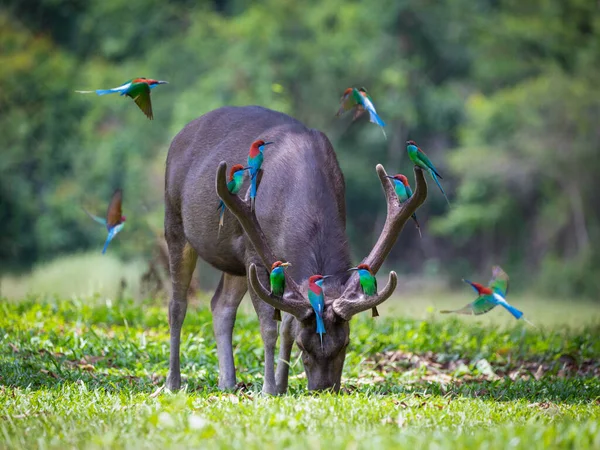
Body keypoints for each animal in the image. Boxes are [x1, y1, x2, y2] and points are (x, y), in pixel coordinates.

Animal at [164, 105, 426, 394]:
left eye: (346, 343)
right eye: (303, 346)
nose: (323, 389)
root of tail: (179, 135)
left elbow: (288, 324)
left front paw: (281, 385)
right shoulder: (255, 254)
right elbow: (269, 325)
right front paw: (269, 388)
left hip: (235, 260)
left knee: (221, 305)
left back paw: (228, 382)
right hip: (174, 219)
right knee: (177, 304)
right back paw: (173, 382)